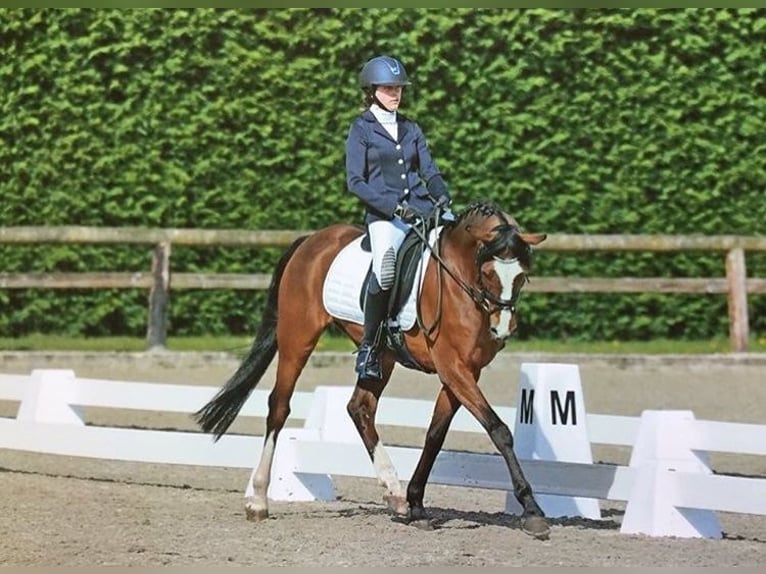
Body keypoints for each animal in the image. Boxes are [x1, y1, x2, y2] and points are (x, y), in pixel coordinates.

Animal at [195, 199, 550, 539]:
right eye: (488, 272)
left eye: (522, 276)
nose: (502, 329)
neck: (458, 278)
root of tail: (311, 240)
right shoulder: (452, 366)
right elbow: (498, 430)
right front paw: (532, 510)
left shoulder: (465, 371)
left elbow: (435, 435)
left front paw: (416, 503)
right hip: (297, 339)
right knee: (279, 408)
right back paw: (258, 500)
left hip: (381, 356)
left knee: (360, 407)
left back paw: (394, 493)